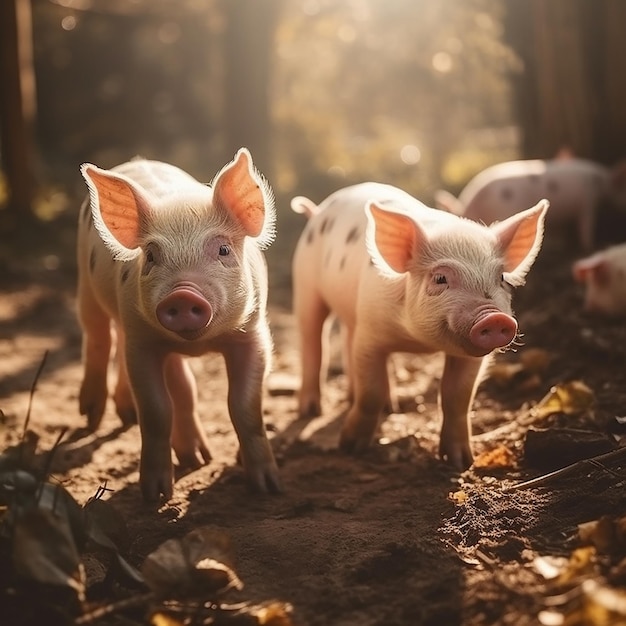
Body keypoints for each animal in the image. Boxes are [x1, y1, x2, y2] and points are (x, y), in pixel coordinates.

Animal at [76, 149, 280, 500]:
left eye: (223, 249)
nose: (183, 294)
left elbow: (244, 406)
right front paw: (155, 495)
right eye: (151, 256)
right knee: (99, 335)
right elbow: (157, 410)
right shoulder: (143, 343)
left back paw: (188, 452)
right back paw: (90, 418)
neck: (198, 344)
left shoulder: (252, 335)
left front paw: (268, 487)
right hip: (85, 284)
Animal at [290, 184, 544, 468]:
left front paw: (461, 462)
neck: (418, 341)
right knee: (313, 341)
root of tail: (318, 212)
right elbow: (371, 392)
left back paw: (386, 407)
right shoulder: (370, 335)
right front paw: (350, 448)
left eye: (500, 278)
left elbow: (458, 397)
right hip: (305, 285)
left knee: (346, 340)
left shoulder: (470, 357)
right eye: (440, 278)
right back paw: (311, 410)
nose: (495, 318)